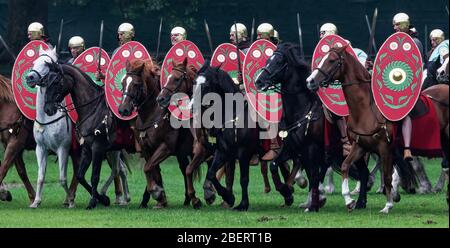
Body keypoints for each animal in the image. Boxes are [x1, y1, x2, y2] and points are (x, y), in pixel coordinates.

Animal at [26, 47, 131, 207]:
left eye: (45, 64)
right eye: (34, 62)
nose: (30, 78)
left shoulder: (64, 148)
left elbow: (64, 178)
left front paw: (71, 200)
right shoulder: (41, 148)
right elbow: (41, 176)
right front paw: (36, 202)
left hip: (113, 150)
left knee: (118, 170)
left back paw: (117, 197)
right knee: (120, 169)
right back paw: (121, 197)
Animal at [118, 59, 200, 208]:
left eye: (136, 84)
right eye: (123, 83)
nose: (123, 110)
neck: (152, 115)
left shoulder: (165, 148)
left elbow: (147, 168)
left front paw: (156, 193)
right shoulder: (147, 151)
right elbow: (153, 171)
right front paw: (160, 198)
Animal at [308, 45, 448, 212]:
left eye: (332, 60)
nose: (310, 81)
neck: (366, 108)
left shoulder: (385, 148)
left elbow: (388, 175)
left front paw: (388, 204)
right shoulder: (360, 146)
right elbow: (345, 166)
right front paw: (349, 200)